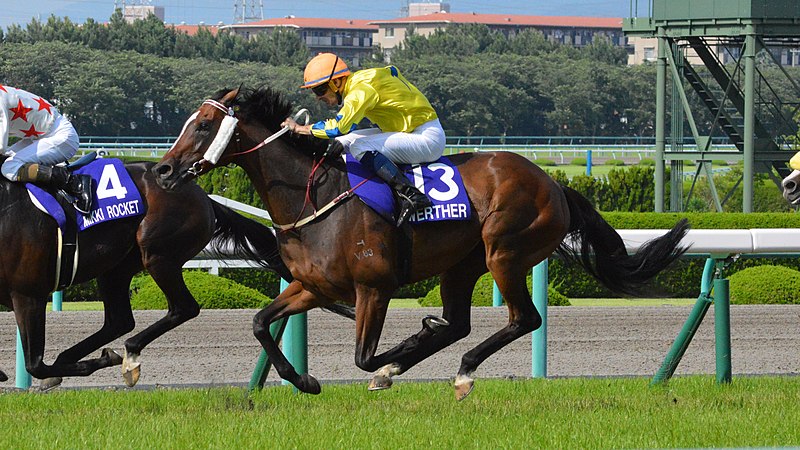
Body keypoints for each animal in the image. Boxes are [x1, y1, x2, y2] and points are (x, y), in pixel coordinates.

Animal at [0, 160, 294, 388]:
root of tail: (202, 194)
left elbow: (35, 364)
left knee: (182, 308)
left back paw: (127, 355)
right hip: (115, 267)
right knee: (119, 321)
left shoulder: (28, 294)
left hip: (158, 255)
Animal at [155, 88, 688, 400]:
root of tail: (554, 183)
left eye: (203, 125)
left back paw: (463, 371)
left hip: (505, 251)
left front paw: (394, 359)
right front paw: (304, 380)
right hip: (463, 264)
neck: (316, 198)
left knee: (524, 319)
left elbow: (365, 357)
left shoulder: (375, 288)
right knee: (461, 322)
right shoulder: (312, 285)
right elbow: (259, 322)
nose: (162, 170)